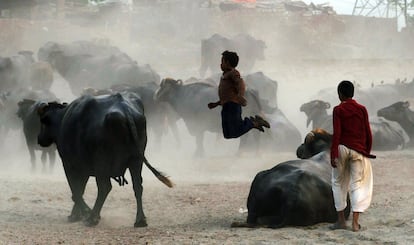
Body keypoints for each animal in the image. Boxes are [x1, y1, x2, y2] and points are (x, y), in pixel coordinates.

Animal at [37, 93, 173, 227]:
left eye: (43, 121)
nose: (39, 139)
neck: (62, 120)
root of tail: (125, 108)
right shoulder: (84, 168)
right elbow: (81, 189)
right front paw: (76, 214)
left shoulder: (69, 164)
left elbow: (75, 191)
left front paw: (84, 212)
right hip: (136, 160)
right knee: (138, 186)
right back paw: (140, 220)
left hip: (101, 163)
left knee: (105, 187)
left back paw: (92, 217)